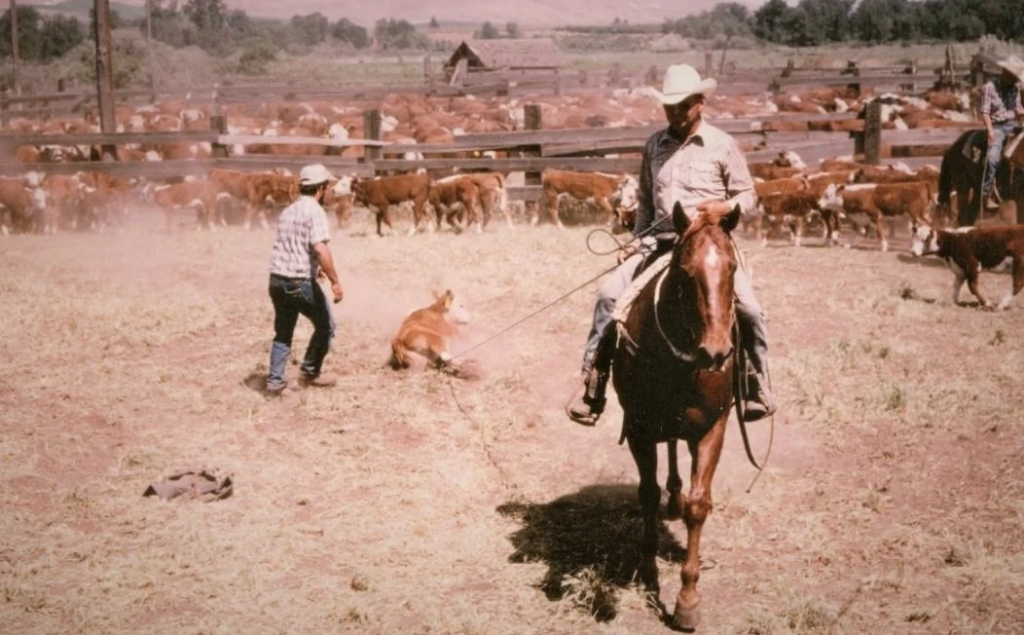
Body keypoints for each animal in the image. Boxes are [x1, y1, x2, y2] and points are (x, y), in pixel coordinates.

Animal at [610, 200, 741, 626]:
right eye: (685, 271)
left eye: (732, 268)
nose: (716, 352)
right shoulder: (639, 426)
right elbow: (647, 494)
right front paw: (649, 571)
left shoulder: (713, 427)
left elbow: (699, 506)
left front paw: (687, 600)